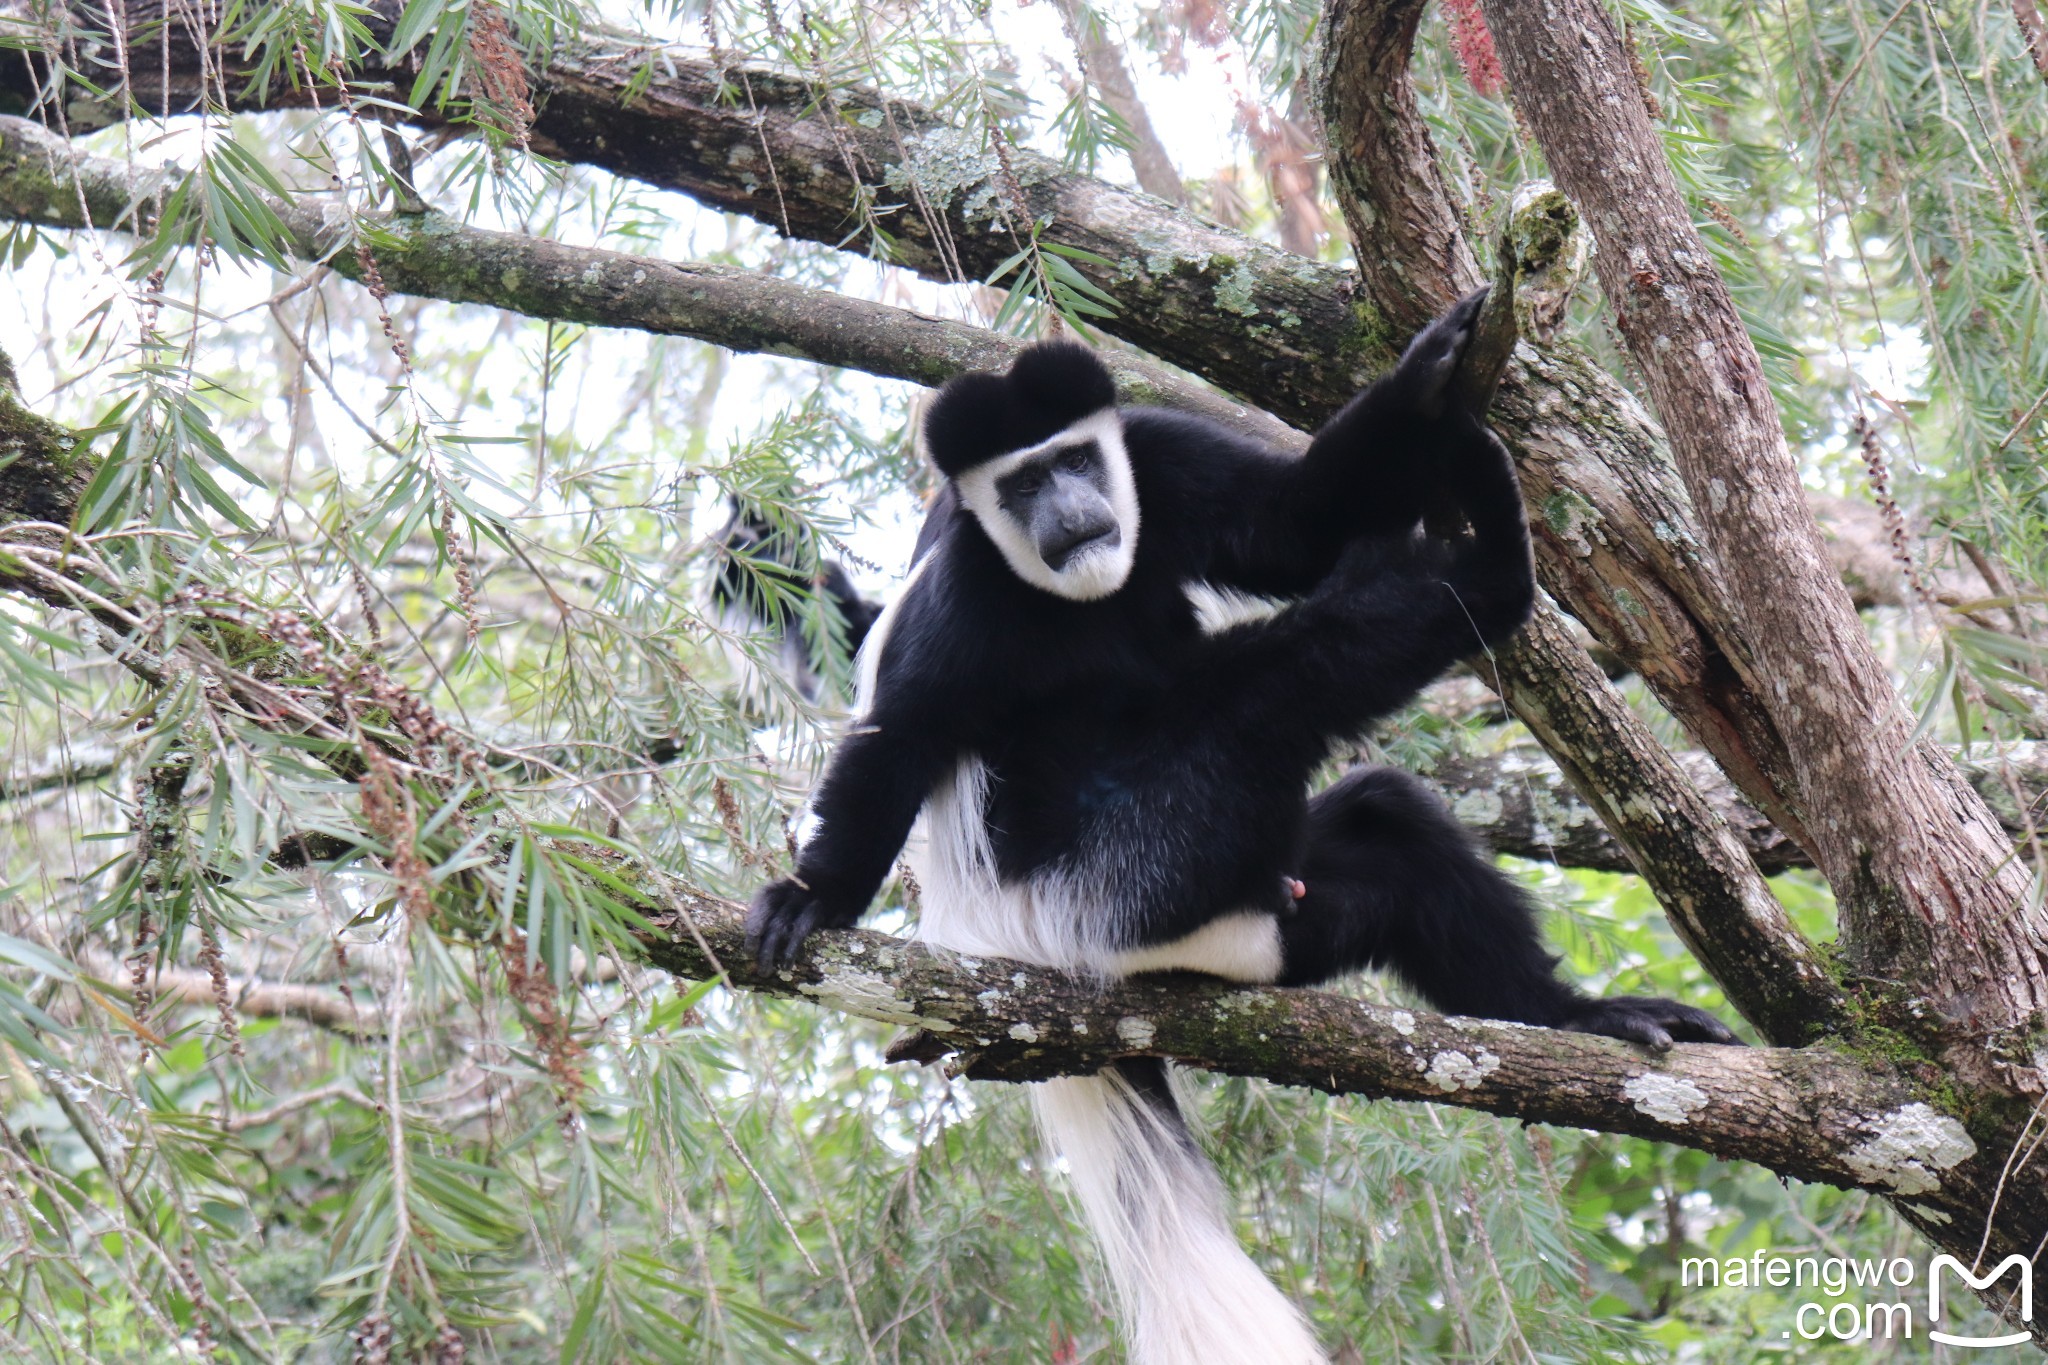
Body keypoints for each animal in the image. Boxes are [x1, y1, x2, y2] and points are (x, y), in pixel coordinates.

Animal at [745, 296, 1736, 1365]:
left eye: (1077, 463)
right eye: (1022, 484)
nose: (1070, 514)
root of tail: (1002, 942)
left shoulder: (1154, 456)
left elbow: (1291, 525)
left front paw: (1424, 378)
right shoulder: (964, 595)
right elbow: (899, 741)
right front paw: (811, 898)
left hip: (1287, 912)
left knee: (1391, 820)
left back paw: (1571, 1018)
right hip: (1125, 889)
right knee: (1270, 688)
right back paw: (1490, 574)